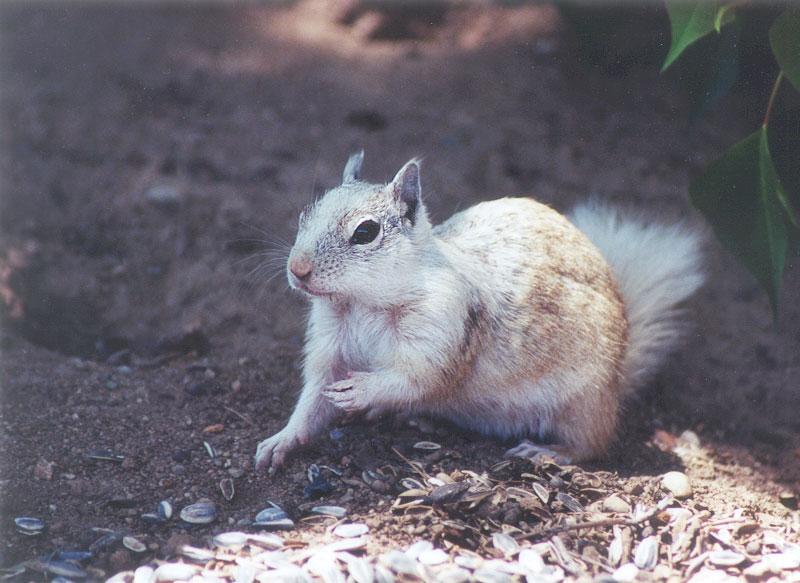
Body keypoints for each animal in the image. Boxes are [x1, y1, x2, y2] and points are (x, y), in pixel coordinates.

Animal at [253, 153, 704, 472]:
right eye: (305, 214)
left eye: (365, 232)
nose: (297, 269)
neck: (363, 302)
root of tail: (617, 381)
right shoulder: (329, 346)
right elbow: (312, 400)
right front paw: (281, 441)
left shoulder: (444, 326)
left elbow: (417, 379)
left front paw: (362, 390)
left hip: (581, 402)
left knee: (592, 444)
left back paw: (547, 452)